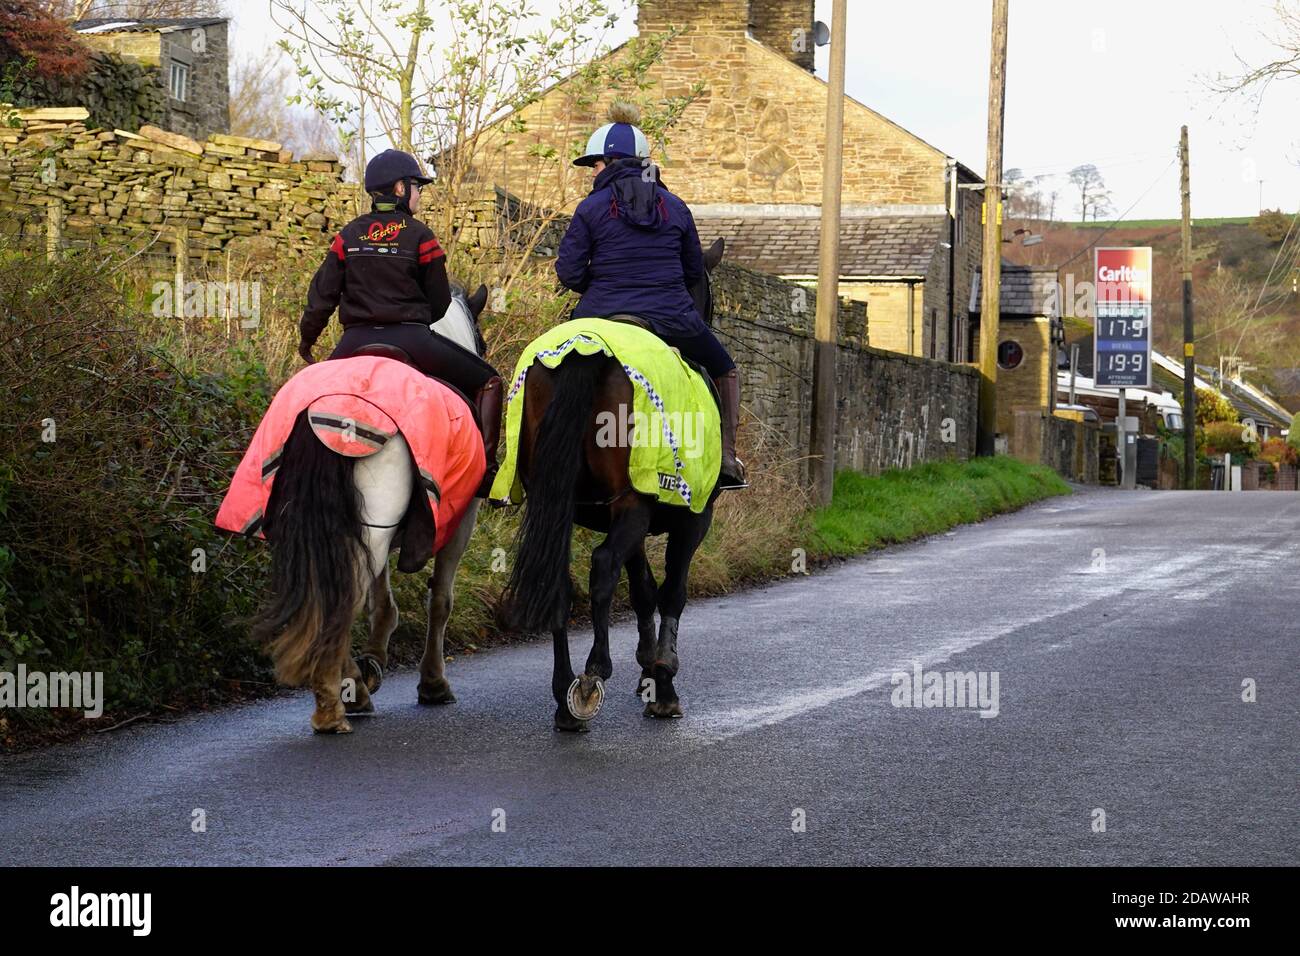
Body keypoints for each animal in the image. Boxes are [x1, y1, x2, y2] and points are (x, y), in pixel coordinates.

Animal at [506, 239, 733, 733]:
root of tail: (583, 349)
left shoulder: (632, 513)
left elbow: (644, 588)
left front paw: (650, 670)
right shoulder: (689, 518)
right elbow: (671, 591)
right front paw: (663, 681)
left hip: (563, 504)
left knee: (561, 578)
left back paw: (564, 697)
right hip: (634, 505)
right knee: (603, 565)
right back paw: (592, 676)